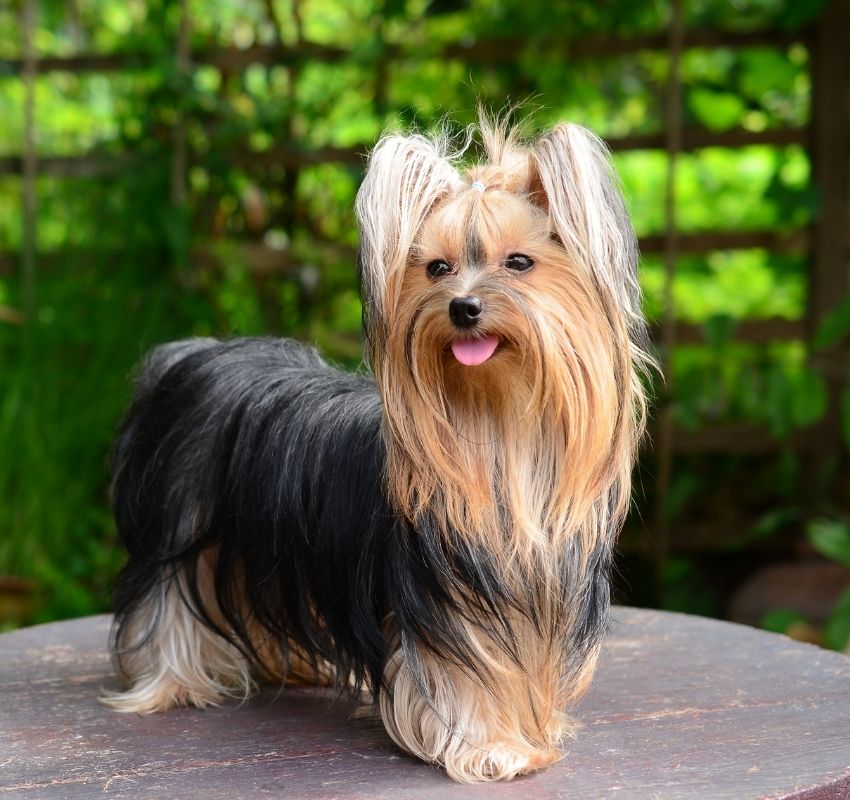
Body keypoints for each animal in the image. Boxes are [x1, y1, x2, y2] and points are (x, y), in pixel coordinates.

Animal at [106, 117, 648, 780]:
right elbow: (460, 680)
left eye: (520, 263)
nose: (463, 307)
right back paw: (174, 682)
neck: (498, 428)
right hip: (183, 523)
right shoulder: (446, 610)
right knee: (167, 603)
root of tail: (192, 354)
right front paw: (492, 748)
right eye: (437, 268)